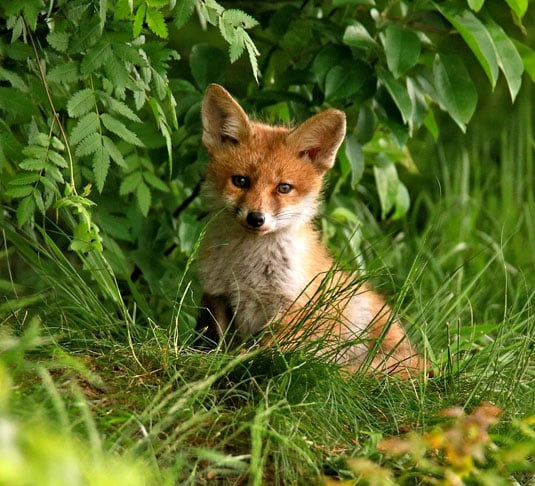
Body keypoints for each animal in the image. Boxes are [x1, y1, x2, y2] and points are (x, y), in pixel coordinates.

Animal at [196, 85, 428, 378]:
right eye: (240, 181)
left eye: (284, 188)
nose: (256, 218)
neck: (247, 268)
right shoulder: (217, 295)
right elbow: (218, 342)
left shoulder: (294, 307)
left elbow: (263, 351)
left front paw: (240, 363)